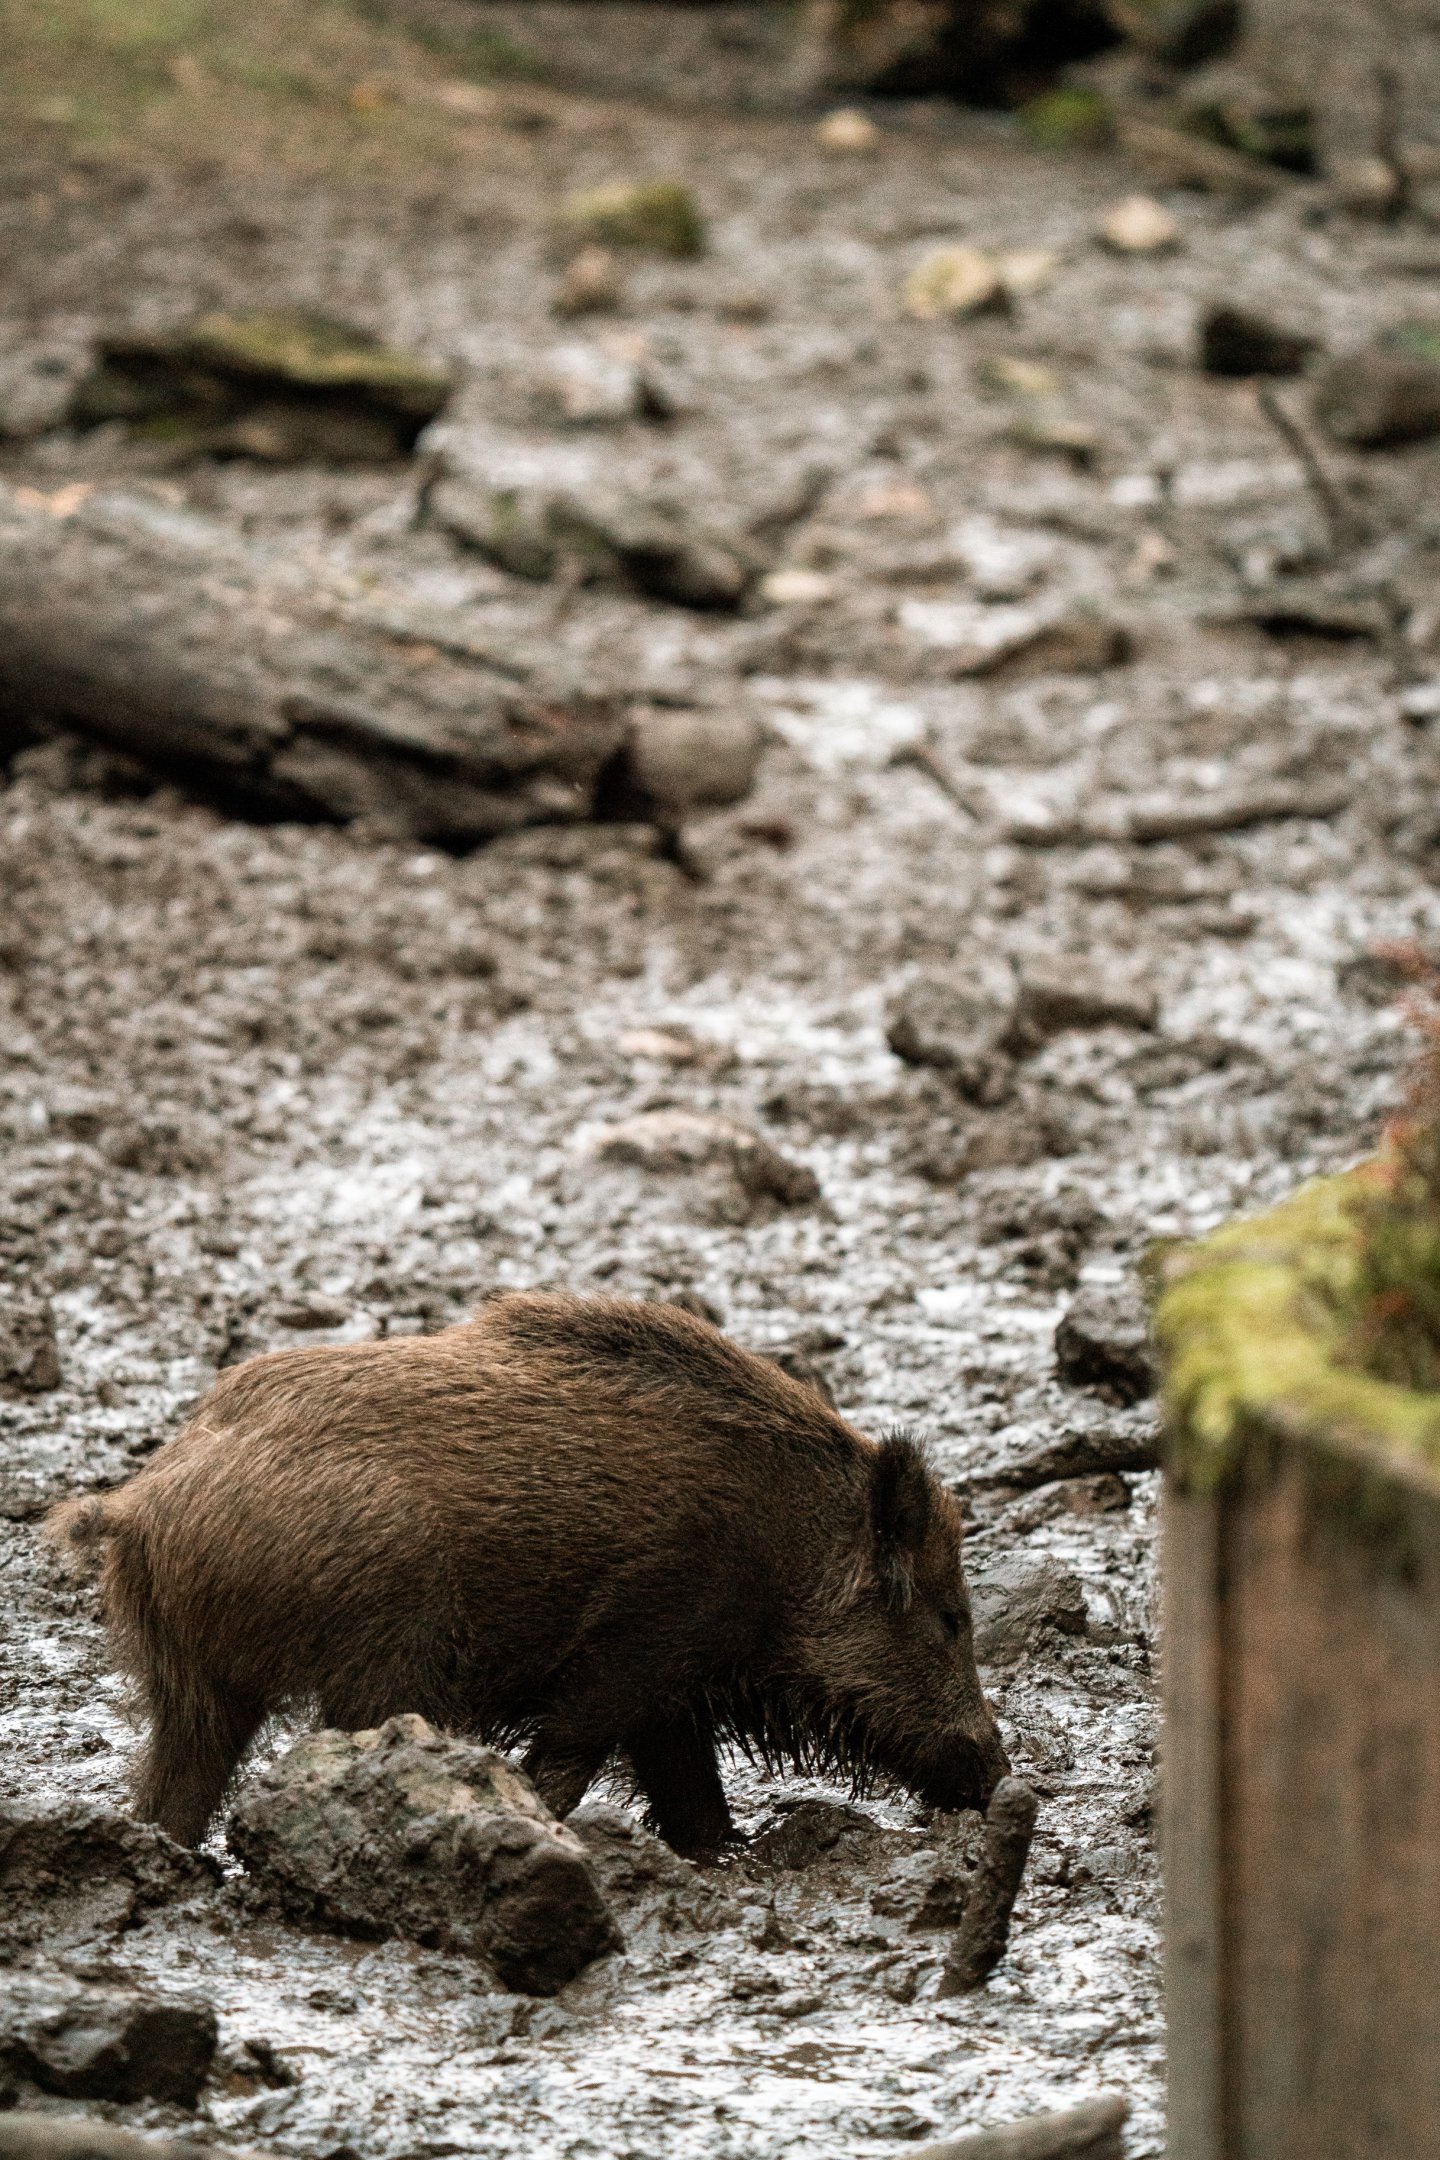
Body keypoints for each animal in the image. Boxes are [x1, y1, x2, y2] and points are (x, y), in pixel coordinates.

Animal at [48, 1292, 1008, 1855]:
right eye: (950, 1617)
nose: (999, 1777)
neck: (788, 1553)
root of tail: (141, 1504)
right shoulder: (634, 1649)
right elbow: (568, 1764)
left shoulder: (673, 1692)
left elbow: (689, 1788)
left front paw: (721, 1855)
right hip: (384, 1652)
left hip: (196, 1684)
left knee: (170, 1793)